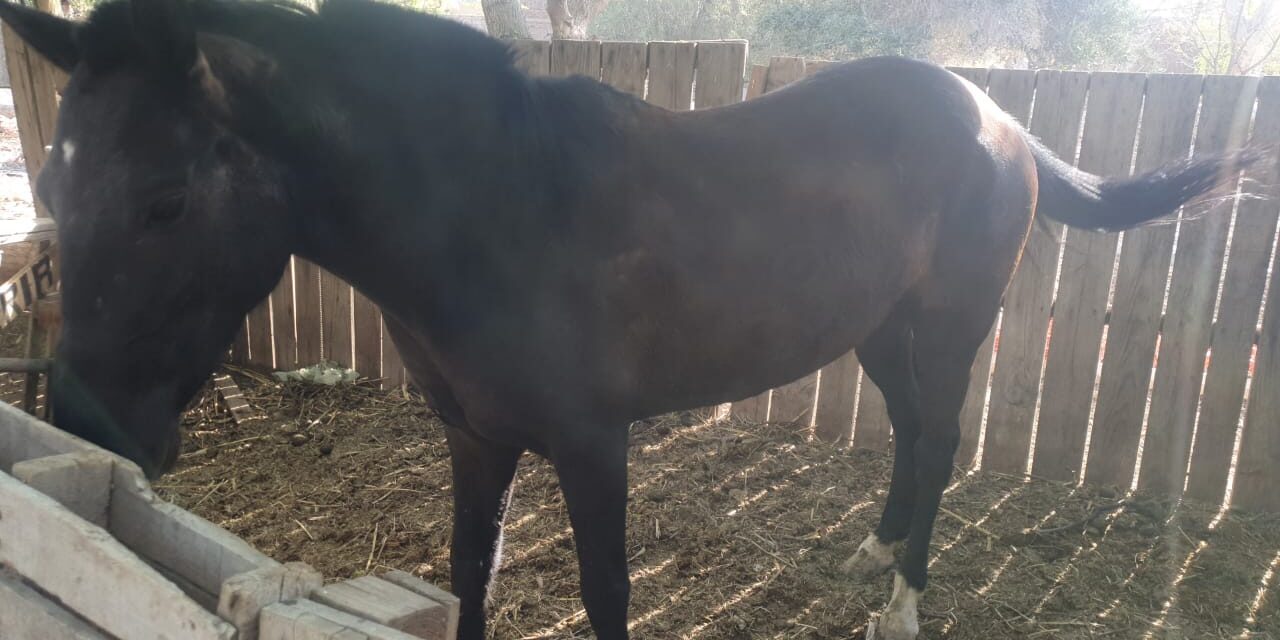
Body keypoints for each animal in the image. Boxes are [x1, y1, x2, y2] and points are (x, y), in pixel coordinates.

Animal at [0, 0, 1261, 637]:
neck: (497, 207)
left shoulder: (592, 447)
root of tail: (994, 116)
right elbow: (471, 573)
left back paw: (903, 602)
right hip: (875, 328)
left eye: (166, 198)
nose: (84, 422)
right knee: (907, 429)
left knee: (943, 438)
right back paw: (869, 550)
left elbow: (604, 594)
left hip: (953, 324)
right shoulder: (475, 439)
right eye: (52, 185)